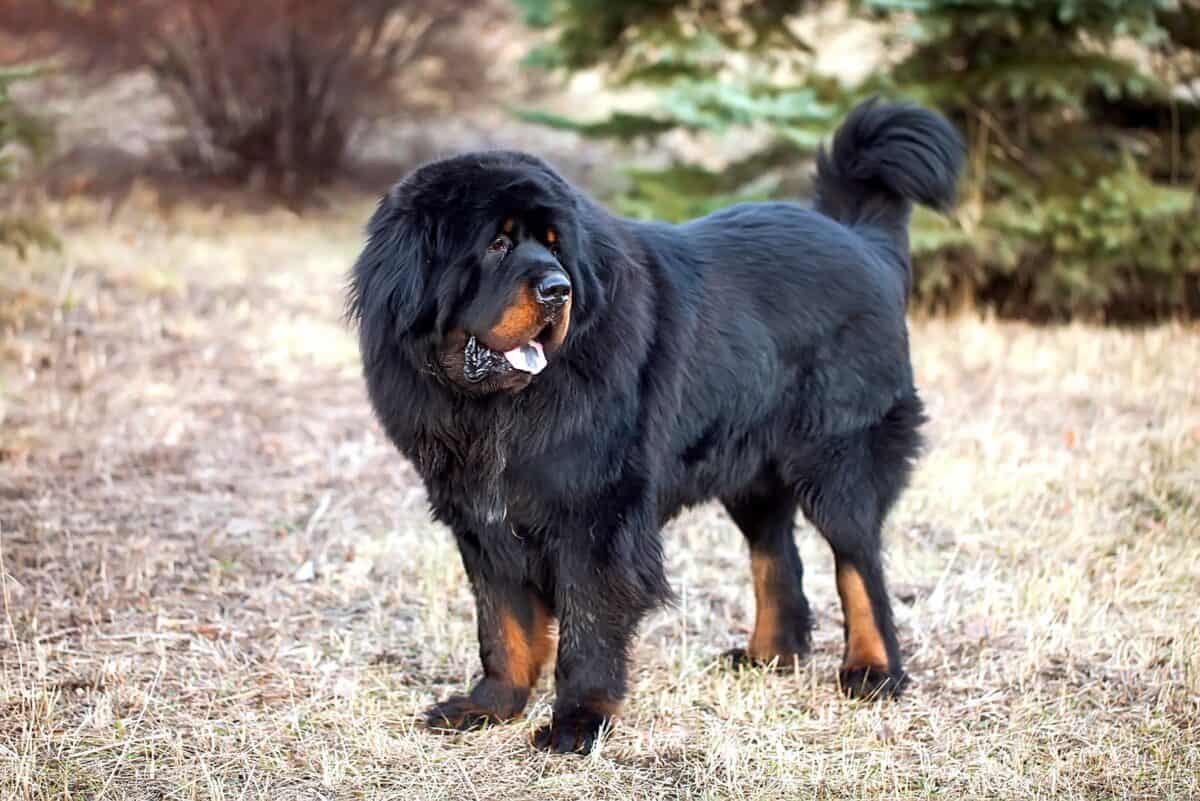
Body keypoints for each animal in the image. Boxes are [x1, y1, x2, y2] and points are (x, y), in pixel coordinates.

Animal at [348, 97, 964, 753]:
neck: (495, 409)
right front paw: (491, 706)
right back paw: (768, 656)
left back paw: (873, 671)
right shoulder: (481, 518)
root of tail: (858, 239)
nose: (559, 288)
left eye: (554, 248)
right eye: (495, 245)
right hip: (749, 470)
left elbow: (588, 629)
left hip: (837, 461)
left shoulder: (596, 519)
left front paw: (577, 723)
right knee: (777, 554)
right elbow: (502, 625)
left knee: (858, 563)